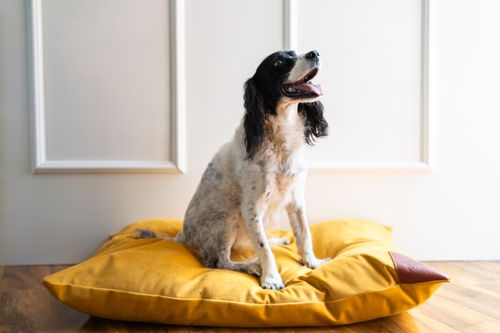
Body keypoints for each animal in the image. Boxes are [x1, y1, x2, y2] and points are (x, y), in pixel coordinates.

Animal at [145, 49, 332, 288]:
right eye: (279, 62)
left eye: (294, 53)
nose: (314, 53)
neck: (280, 137)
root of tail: (183, 236)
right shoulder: (250, 207)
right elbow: (263, 248)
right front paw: (271, 278)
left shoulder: (295, 199)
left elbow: (305, 235)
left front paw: (313, 262)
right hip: (228, 219)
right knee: (220, 262)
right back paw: (251, 266)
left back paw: (277, 240)